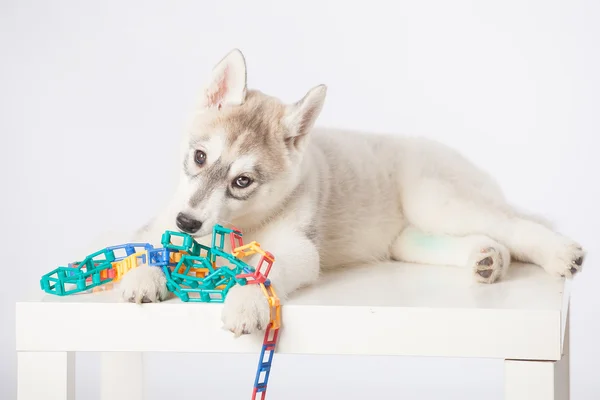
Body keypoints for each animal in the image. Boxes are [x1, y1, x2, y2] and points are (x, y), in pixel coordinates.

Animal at [117, 48, 584, 336]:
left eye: (242, 182)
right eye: (199, 157)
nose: (188, 222)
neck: (240, 224)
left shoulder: (299, 249)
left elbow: (261, 272)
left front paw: (247, 300)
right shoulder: (161, 222)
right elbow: (150, 246)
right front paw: (143, 273)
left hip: (436, 200)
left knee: (515, 225)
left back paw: (560, 253)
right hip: (407, 238)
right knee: (483, 239)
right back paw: (486, 260)